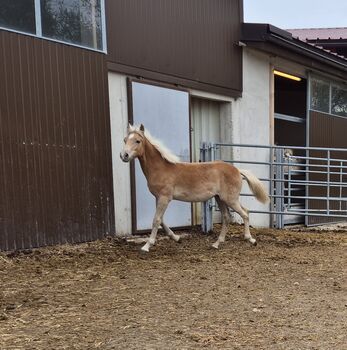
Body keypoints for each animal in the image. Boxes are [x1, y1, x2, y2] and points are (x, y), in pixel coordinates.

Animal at [121, 123, 270, 252]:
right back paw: (216, 243)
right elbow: (161, 220)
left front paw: (146, 246)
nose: (124, 156)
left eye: (137, 141)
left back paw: (251, 239)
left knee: (244, 213)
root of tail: (237, 170)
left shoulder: (164, 198)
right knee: (227, 216)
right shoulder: (158, 198)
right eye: (125, 140)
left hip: (230, 199)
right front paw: (177, 238)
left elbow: (156, 220)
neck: (161, 168)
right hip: (220, 199)